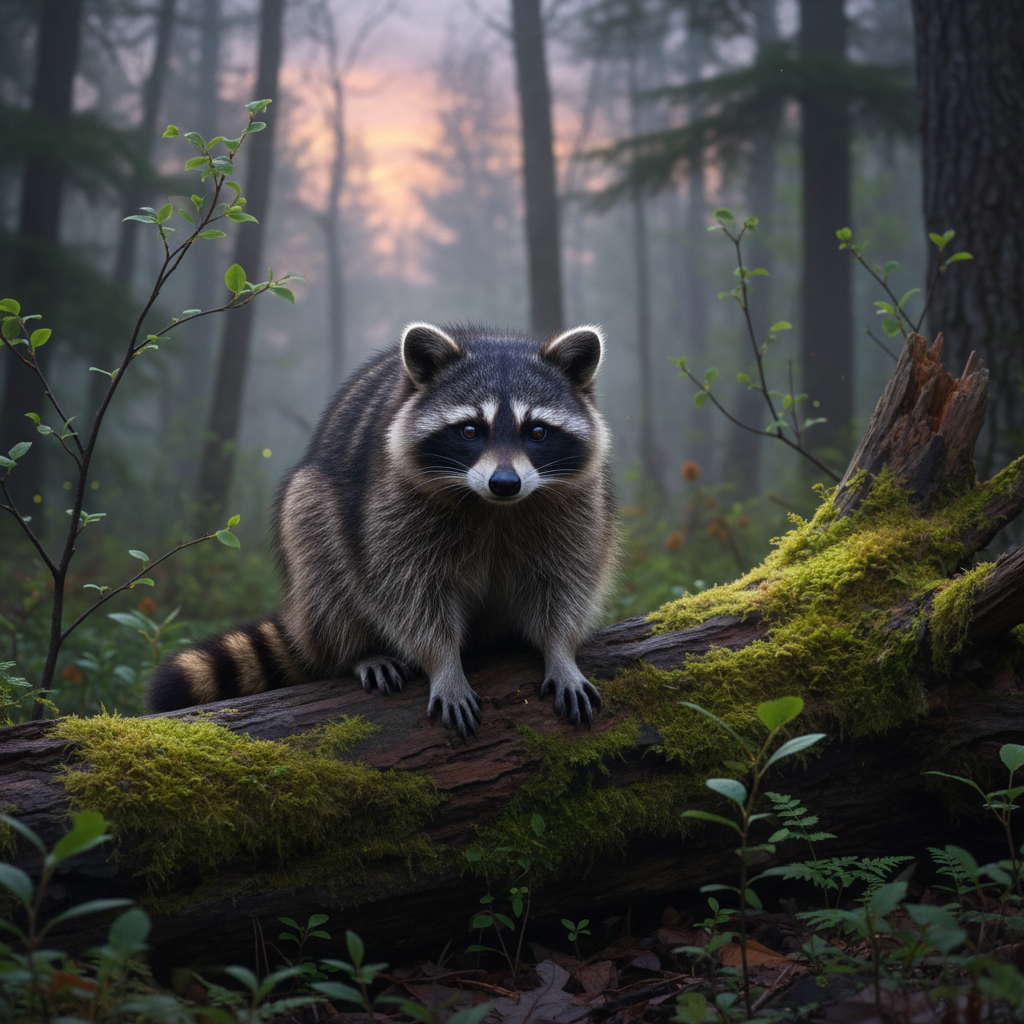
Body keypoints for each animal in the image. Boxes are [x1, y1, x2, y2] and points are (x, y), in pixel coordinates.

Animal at [149, 322, 618, 736]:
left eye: (536, 431)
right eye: (470, 430)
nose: (505, 483)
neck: (494, 507)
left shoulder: (576, 507)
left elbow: (564, 581)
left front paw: (560, 651)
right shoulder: (393, 503)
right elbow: (407, 591)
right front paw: (443, 664)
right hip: (314, 511)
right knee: (320, 551)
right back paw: (358, 649)